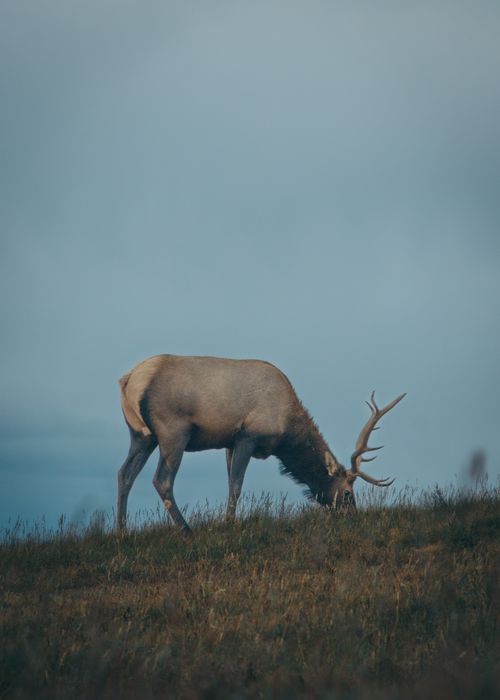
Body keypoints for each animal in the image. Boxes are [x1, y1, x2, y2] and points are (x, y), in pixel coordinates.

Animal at [117, 354, 405, 533]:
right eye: (347, 492)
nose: (353, 517)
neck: (286, 430)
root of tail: (128, 381)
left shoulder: (229, 442)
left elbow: (230, 481)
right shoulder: (248, 435)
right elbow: (236, 484)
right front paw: (229, 523)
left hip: (140, 435)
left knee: (124, 474)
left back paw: (122, 529)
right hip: (173, 432)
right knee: (162, 480)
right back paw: (186, 529)